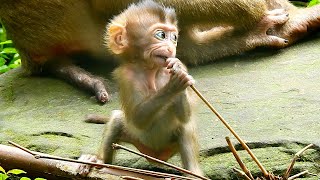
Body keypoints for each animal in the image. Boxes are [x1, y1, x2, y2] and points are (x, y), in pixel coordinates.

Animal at [77, 0, 201, 177]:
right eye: (161, 35)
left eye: (174, 38)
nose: (171, 48)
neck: (151, 70)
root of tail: (156, 157)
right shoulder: (126, 76)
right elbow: (138, 118)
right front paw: (174, 84)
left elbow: (185, 117)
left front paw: (178, 71)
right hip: (136, 138)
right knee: (117, 120)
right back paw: (98, 161)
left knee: (185, 127)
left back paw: (193, 173)